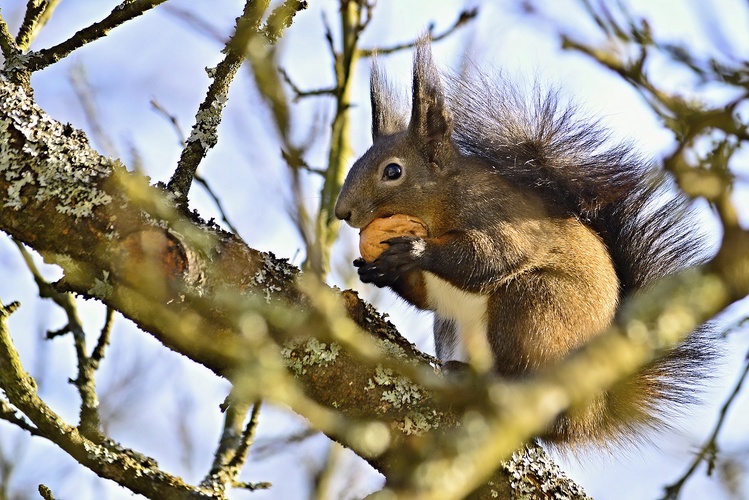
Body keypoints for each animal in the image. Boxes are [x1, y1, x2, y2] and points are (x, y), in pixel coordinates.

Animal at [334, 38, 712, 446]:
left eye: (393, 171)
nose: (342, 212)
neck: (442, 201)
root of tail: (592, 410)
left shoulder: (502, 217)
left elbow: (491, 257)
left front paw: (415, 251)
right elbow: (424, 295)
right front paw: (377, 270)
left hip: (532, 308)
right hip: (454, 326)